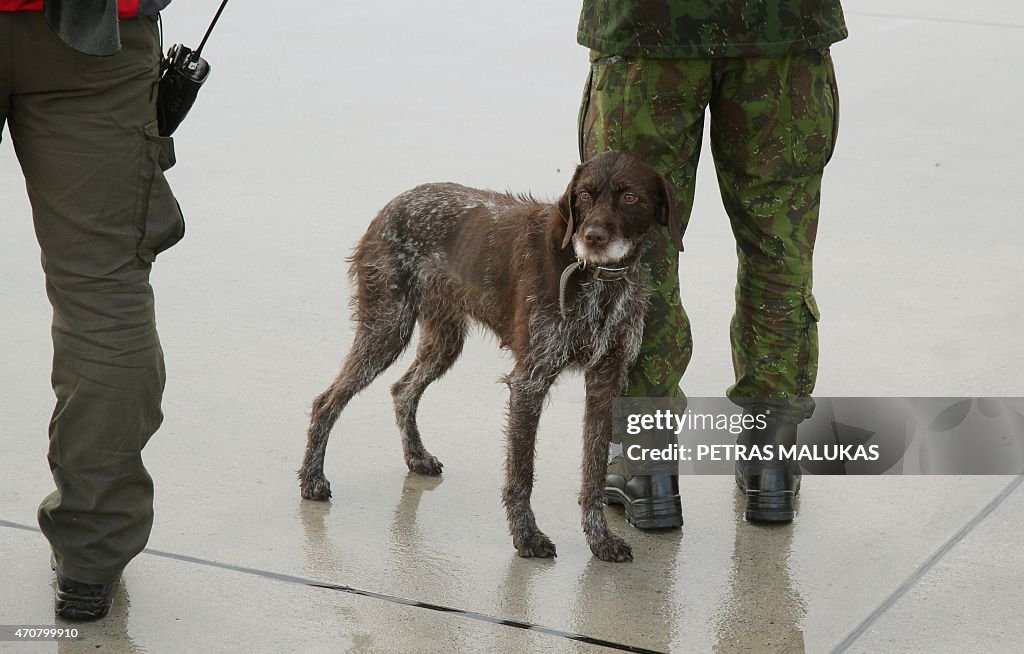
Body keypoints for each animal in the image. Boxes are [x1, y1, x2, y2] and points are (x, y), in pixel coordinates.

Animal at [299, 151, 679, 560]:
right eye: (585, 195)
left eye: (630, 197)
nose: (592, 236)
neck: (596, 278)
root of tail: (391, 206)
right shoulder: (530, 382)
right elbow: (522, 473)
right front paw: (526, 536)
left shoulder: (604, 383)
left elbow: (592, 473)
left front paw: (600, 539)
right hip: (386, 329)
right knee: (327, 401)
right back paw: (312, 479)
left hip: (444, 341)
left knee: (403, 389)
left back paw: (416, 456)